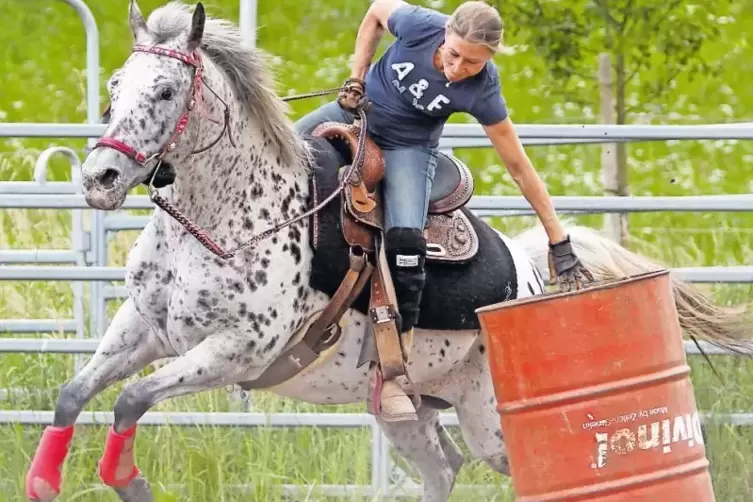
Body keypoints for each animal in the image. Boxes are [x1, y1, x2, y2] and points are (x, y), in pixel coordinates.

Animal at [25, 1, 752, 500]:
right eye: (114, 85)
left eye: (166, 90)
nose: (99, 178)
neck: (233, 216)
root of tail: (527, 271)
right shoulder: (143, 326)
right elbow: (73, 393)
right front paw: (42, 481)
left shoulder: (237, 350)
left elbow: (129, 400)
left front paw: (128, 480)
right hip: (412, 412)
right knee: (443, 467)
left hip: (495, 422)